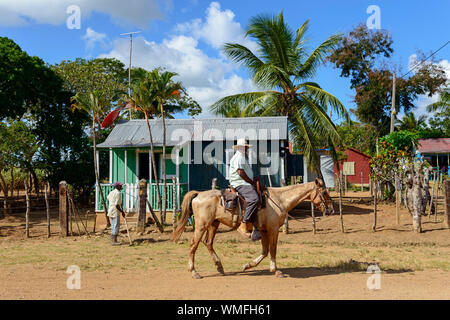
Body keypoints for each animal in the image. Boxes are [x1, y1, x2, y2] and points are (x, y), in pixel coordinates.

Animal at [174, 179, 332, 278]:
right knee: (194, 244)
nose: (331, 210)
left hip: (214, 224)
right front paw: (276, 271)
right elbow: (272, 250)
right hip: (202, 225)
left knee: (208, 243)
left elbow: (265, 251)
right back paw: (194, 272)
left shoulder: (263, 231)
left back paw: (220, 267)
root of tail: (199, 194)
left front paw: (247, 265)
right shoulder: (273, 230)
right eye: (324, 192)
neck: (279, 200)